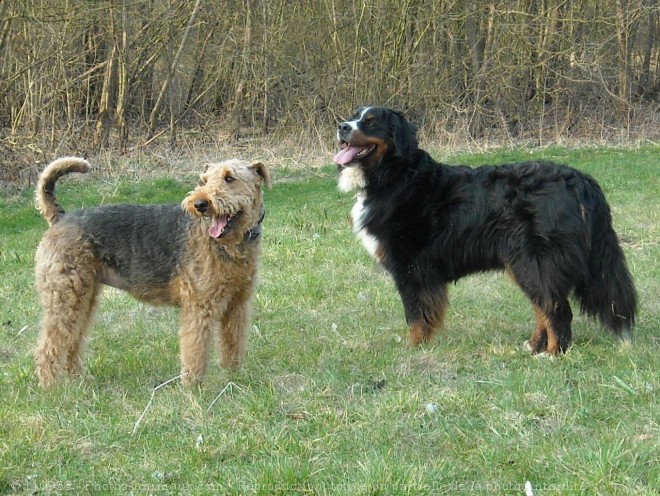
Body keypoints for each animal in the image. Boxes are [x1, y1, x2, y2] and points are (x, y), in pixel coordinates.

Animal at [32, 156, 270, 388]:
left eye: (229, 178)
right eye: (203, 181)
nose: (200, 204)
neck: (231, 245)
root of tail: (61, 217)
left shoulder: (237, 304)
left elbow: (233, 344)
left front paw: (234, 377)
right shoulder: (200, 307)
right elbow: (196, 351)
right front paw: (194, 389)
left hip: (84, 297)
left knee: (73, 340)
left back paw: (78, 380)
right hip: (64, 298)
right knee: (48, 346)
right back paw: (51, 389)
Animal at [338, 105, 636, 352]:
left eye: (371, 122)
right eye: (353, 117)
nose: (342, 126)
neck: (394, 175)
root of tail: (578, 179)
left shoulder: (411, 268)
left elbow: (416, 316)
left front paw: (413, 350)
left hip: (535, 260)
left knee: (556, 309)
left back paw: (552, 354)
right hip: (524, 263)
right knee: (544, 306)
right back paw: (535, 345)